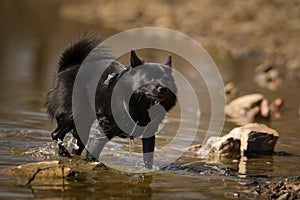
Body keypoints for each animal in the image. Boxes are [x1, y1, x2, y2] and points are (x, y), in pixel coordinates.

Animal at [44, 35, 176, 168]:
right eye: (148, 78)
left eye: (167, 80)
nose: (163, 89)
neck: (140, 107)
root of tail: (67, 68)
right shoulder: (104, 129)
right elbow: (92, 153)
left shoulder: (149, 135)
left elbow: (148, 160)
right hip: (74, 114)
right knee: (56, 135)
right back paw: (65, 155)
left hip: (82, 124)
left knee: (77, 143)